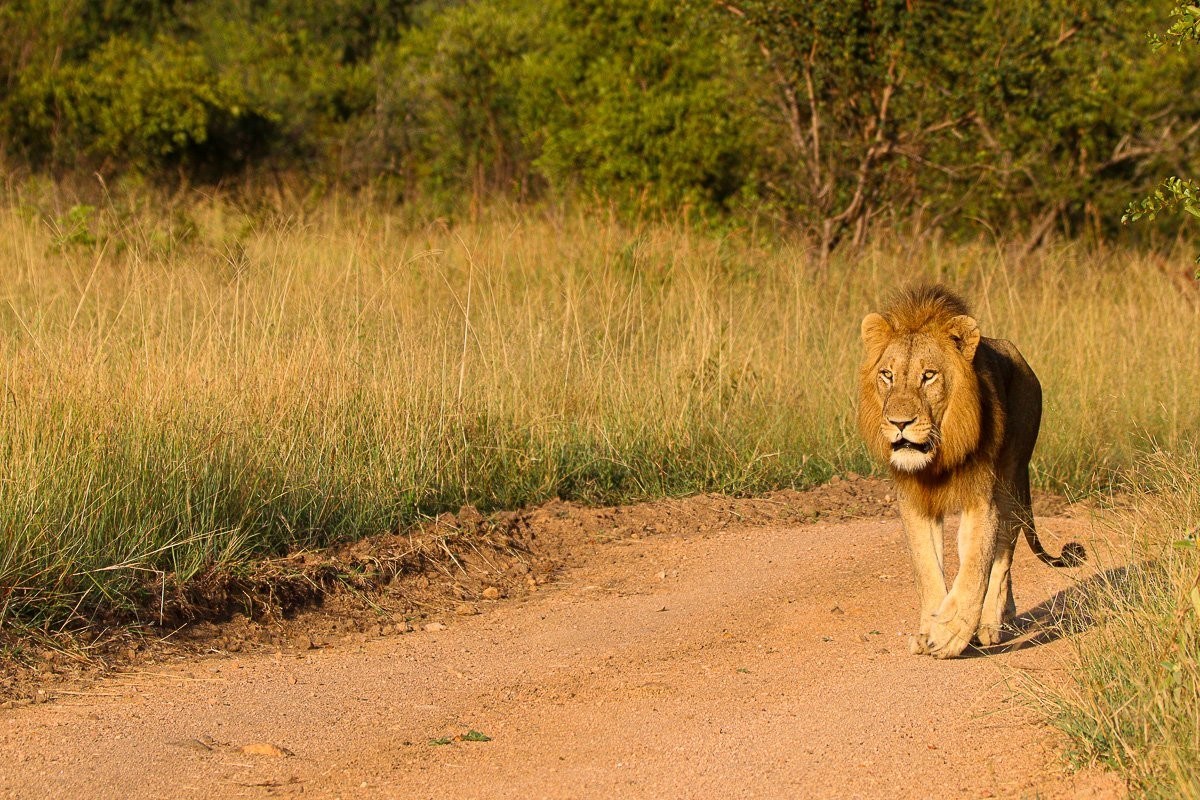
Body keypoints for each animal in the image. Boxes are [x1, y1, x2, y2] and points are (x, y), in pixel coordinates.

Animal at [857, 285, 1084, 659]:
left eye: (928, 375)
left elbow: (976, 566)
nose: (899, 423)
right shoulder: (915, 503)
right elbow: (927, 568)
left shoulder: (982, 499)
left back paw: (990, 624)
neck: (937, 457)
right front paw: (928, 631)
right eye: (887, 375)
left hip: (1010, 482)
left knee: (1003, 557)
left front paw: (949, 634)